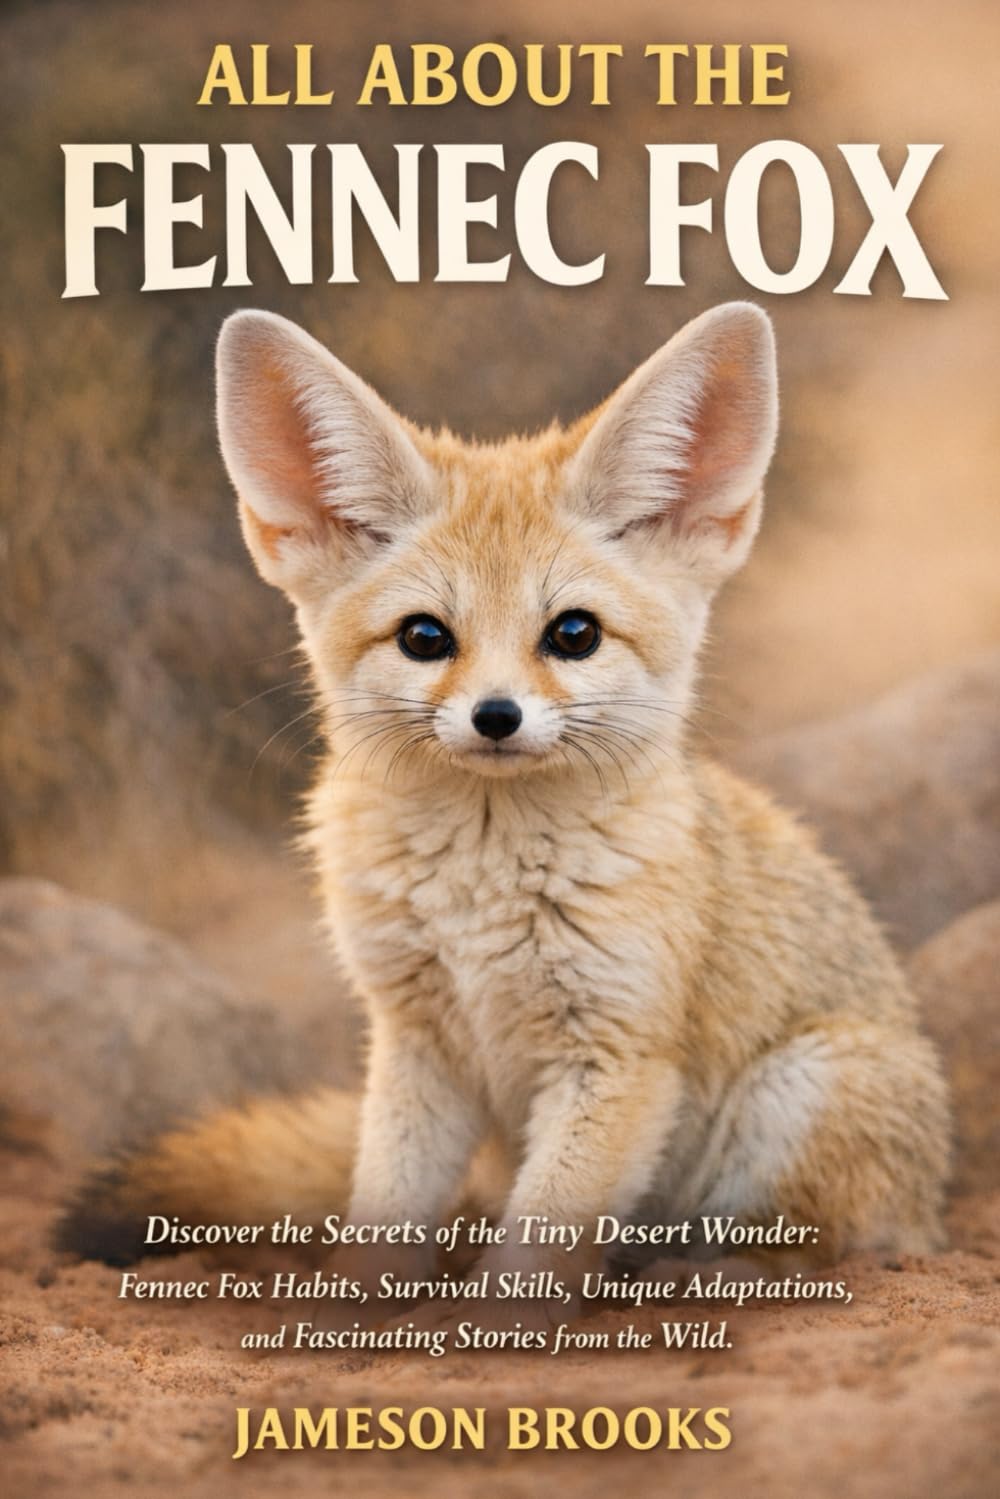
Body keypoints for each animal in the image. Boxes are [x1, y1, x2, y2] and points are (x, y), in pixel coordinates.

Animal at [58, 302, 950, 1289]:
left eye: (573, 633)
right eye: (424, 637)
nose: (496, 716)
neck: (476, 897)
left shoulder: (616, 1057)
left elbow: (533, 1253)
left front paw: (493, 1323)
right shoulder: (415, 1042)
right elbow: (383, 1219)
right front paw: (351, 1310)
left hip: (800, 1093)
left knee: (814, 1242)